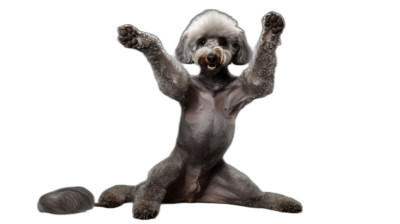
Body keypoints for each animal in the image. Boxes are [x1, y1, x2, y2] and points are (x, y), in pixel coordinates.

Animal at [38, 9, 304, 220]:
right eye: (202, 41)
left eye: (224, 41)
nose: (211, 56)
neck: (213, 85)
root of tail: (192, 194)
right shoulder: (180, 87)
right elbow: (165, 65)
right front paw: (137, 38)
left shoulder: (252, 85)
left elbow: (261, 73)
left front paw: (272, 28)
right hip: (168, 169)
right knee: (148, 190)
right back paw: (144, 207)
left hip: (236, 182)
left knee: (258, 198)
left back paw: (285, 203)